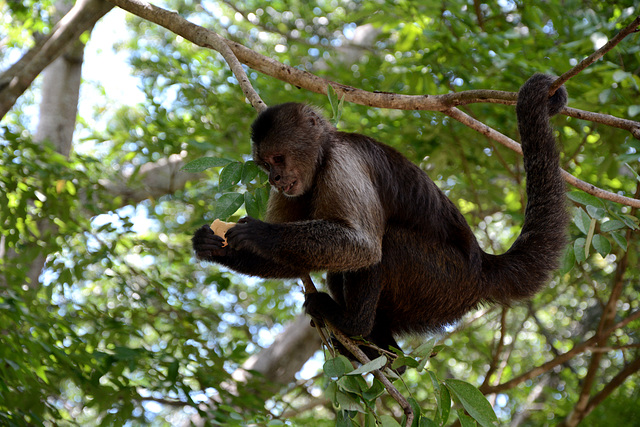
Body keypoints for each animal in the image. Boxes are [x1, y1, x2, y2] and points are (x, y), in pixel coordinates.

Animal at [191, 73, 568, 358]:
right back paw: (381, 349)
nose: (274, 179)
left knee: (386, 243)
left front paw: (256, 234)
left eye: (278, 159)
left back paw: (353, 325)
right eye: (264, 165)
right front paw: (211, 246)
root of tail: (482, 266)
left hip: (445, 281)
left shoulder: (344, 162)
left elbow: (364, 247)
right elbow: (294, 264)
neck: (322, 157)